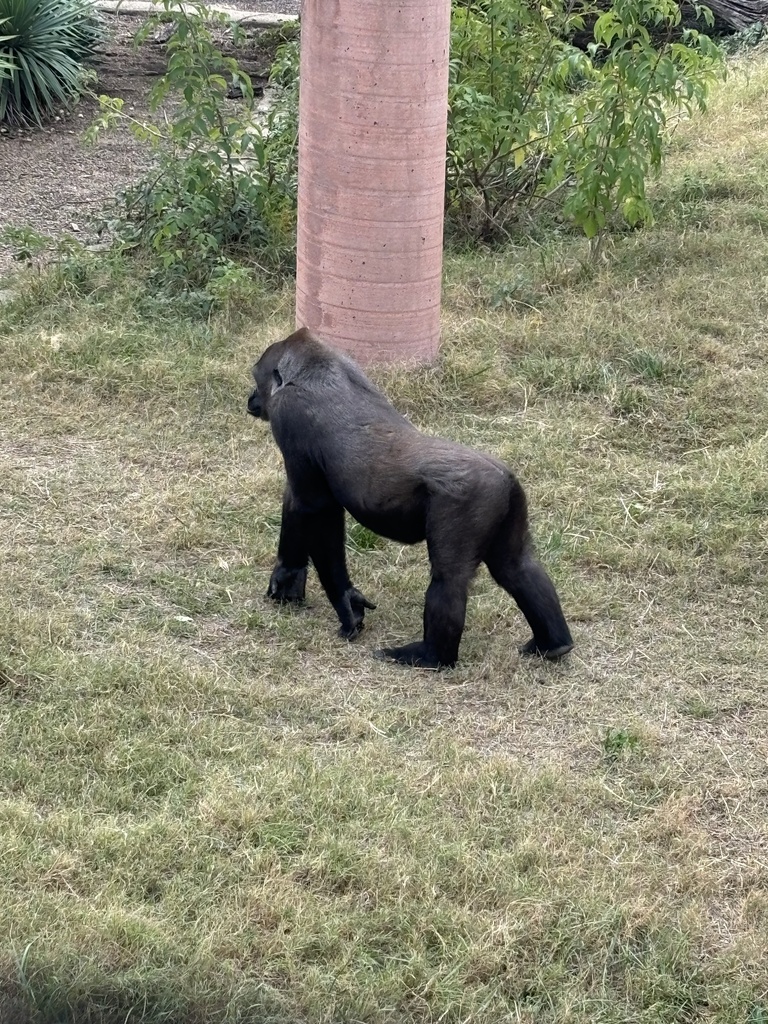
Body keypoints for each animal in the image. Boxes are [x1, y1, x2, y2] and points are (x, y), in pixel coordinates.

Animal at [247, 328, 574, 669]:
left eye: (256, 381)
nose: (251, 399)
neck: (314, 368)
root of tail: (503, 478)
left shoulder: (289, 413)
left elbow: (316, 509)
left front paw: (345, 602)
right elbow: (298, 505)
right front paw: (288, 576)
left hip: (467, 501)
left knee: (448, 579)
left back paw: (430, 656)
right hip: (510, 500)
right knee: (517, 567)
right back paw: (553, 644)